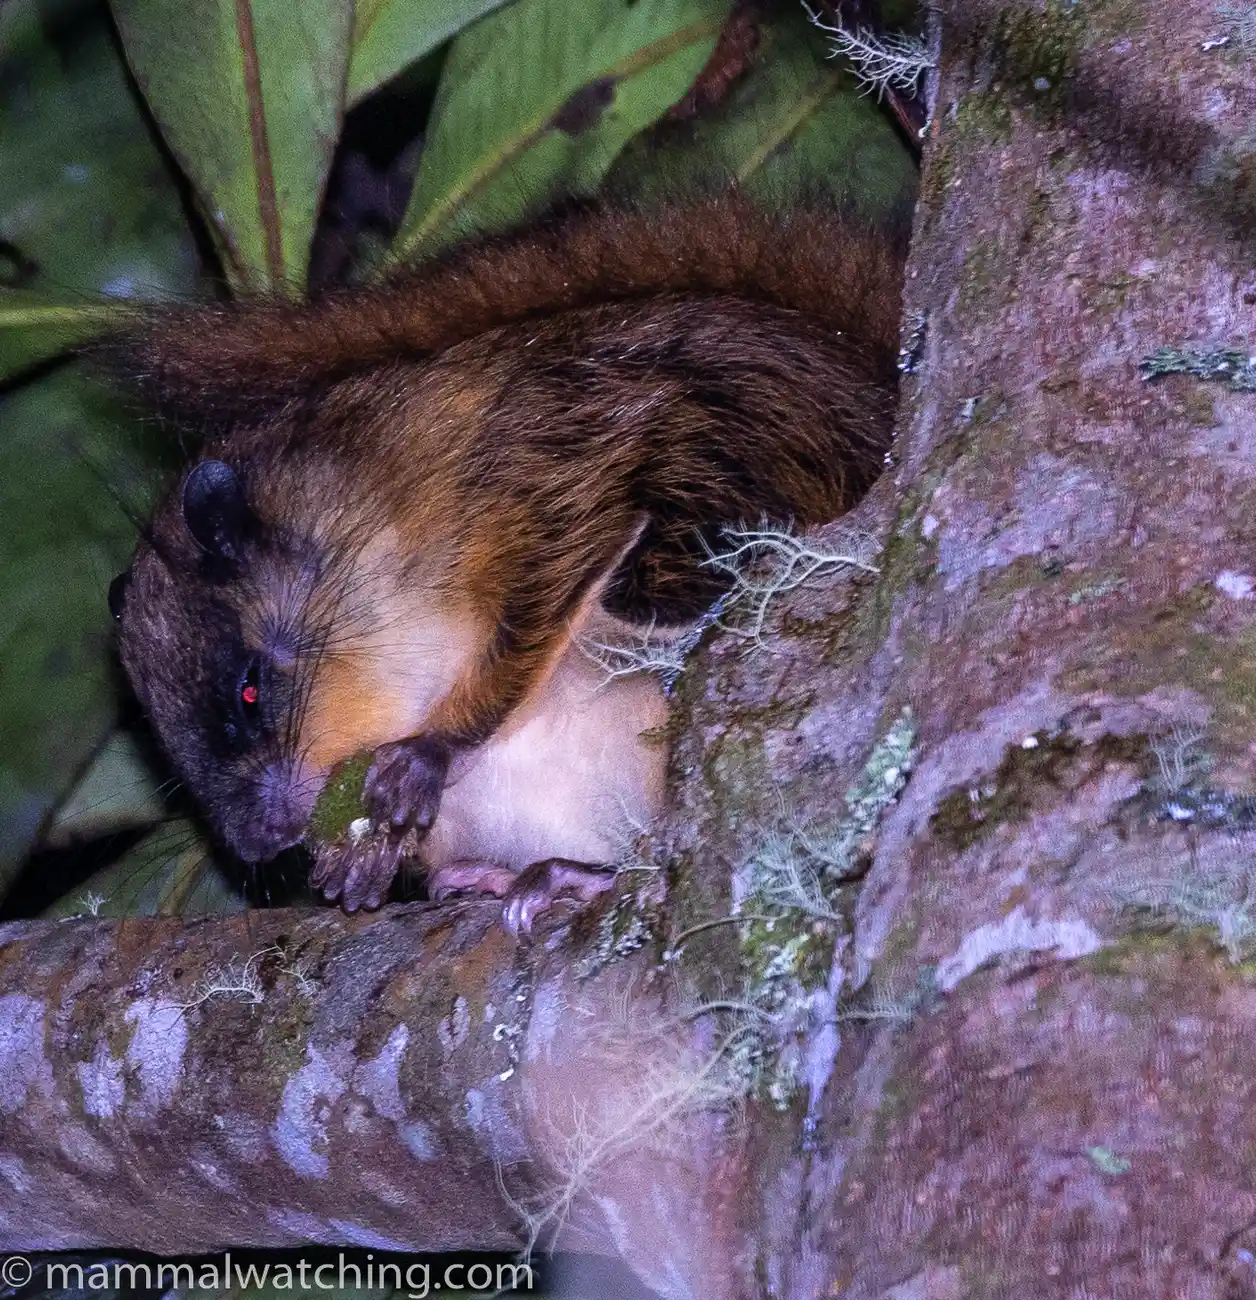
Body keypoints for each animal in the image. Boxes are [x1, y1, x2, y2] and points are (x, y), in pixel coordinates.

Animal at [105, 193, 904, 930]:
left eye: (247, 692)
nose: (258, 846)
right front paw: (365, 856)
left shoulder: (554, 470)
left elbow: (541, 610)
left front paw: (426, 756)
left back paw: (579, 878)